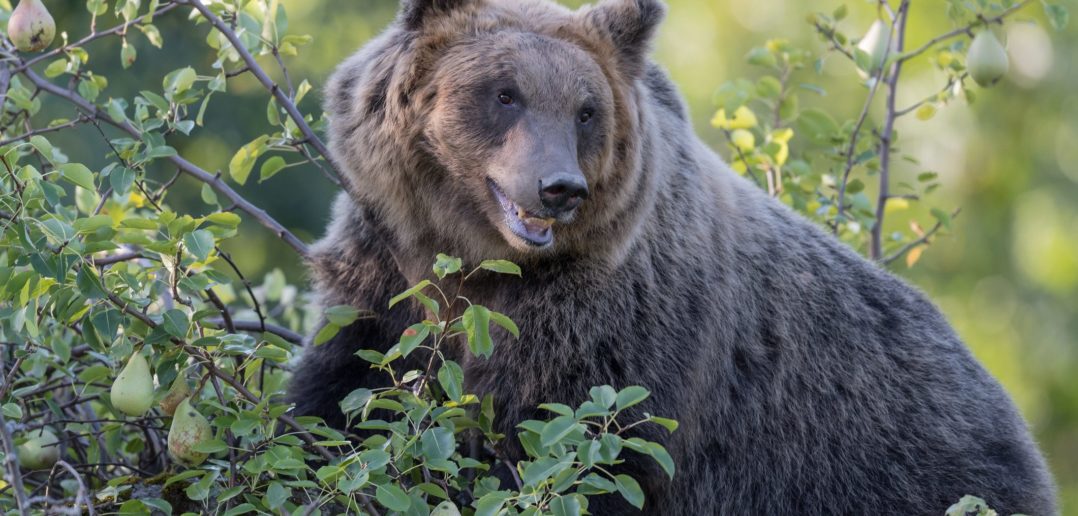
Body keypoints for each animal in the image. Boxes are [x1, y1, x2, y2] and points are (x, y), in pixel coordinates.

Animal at [288, 0, 1059, 513]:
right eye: (504, 93)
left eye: (585, 110)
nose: (558, 188)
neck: (480, 265)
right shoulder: (382, 271)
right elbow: (342, 398)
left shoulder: (613, 331)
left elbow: (575, 453)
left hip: (895, 466)